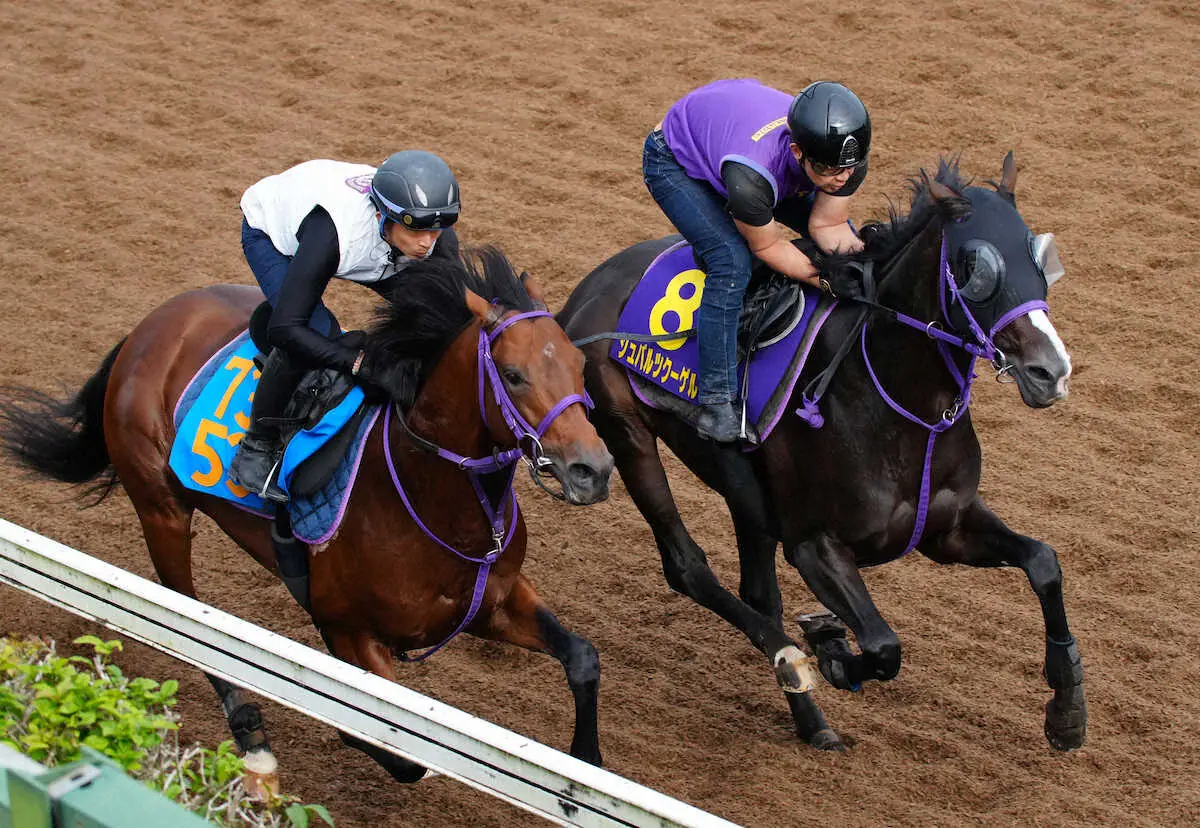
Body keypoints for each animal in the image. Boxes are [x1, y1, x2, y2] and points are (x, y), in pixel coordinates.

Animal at [0, 244, 614, 782]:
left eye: (580, 362)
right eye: (513, 374)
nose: (594, 469)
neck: (434, 502)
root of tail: (151, 326)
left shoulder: (494, 602)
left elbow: (583, 658)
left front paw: (586, 766)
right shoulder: (350, 630)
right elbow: (397, 753)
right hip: (162, 511)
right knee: (187, 617)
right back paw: (250, 735)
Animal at [559, 153, 1089, 748]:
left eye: (1040, 258)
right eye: (976, 269)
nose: (1050, 372)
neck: (893, 401)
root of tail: (586, 289)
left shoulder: (945, 530)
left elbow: (1044, 562)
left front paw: (1067, 710)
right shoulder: (815, 546)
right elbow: (882, 646)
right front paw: (832, 650)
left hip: (748, 498)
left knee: (757, 589)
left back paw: (813, 721)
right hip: (627, 436)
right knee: (688, 567)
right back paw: (791, 660)